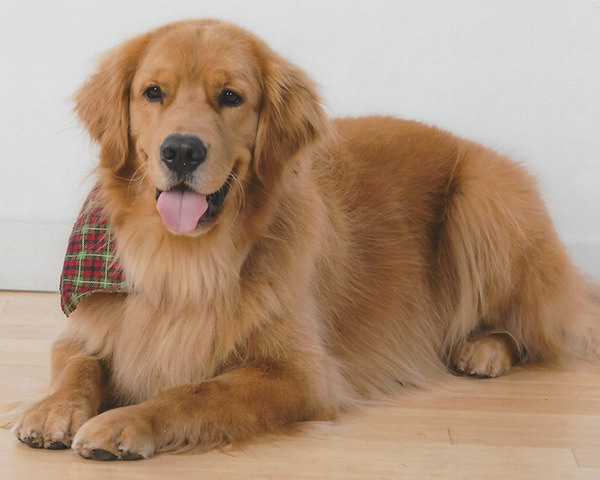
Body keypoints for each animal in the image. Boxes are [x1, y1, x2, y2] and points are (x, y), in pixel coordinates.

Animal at [10, 19, 600, 462]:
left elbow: (193, 391)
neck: (188, 259)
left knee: (543, 330)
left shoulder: (298, 374)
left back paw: (483, 349)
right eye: (153, 93)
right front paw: (51, 408)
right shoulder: (85, 328)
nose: (181, 150)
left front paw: (125, 421)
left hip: (483, 197)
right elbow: (79, 363)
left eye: (231, 97)